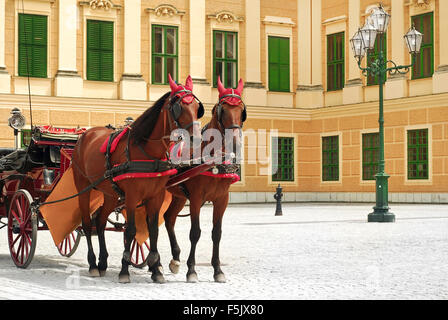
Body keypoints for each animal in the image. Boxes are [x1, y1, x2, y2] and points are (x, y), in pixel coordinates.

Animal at [71, 74, 204, 282]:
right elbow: (132, 230)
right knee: (86, 223)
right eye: (179, 107)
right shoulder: (132, 196)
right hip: (83, 188)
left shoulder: (155, 196)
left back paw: (103, 262)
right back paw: (93, 264)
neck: (148, 152)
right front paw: (125, 270)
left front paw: (156, 270)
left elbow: (153, 229)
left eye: (197, 108)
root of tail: (86, 134)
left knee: (100, 222)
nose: (196, 138)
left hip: (110, 194)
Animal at [163, 77, 245, 282]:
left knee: (169, 219)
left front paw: (217, 270)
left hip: (178, 196)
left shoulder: (222, 199)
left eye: (241, 110)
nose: (235, 143)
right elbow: (195, 232)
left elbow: (217, 234)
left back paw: (175, 258)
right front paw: (192, 270)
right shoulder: (196, 198)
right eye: (222, 110)